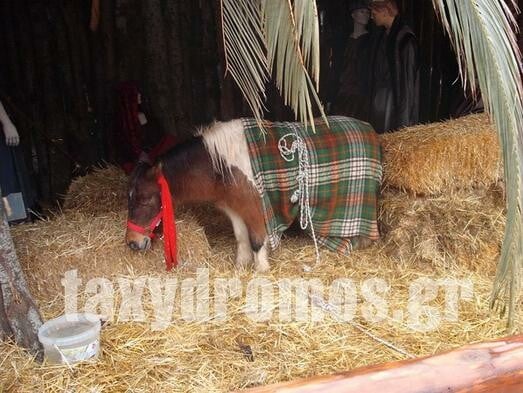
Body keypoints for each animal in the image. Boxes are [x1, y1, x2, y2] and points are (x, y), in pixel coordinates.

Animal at [125, 115, 382, 272]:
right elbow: (241, 238)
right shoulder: (234, 208)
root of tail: (369, 129)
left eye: (144, 199)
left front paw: (261, 269)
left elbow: (258, 240)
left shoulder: (256, 208)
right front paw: (241, 265)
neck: (221, 167)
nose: (132, 243)